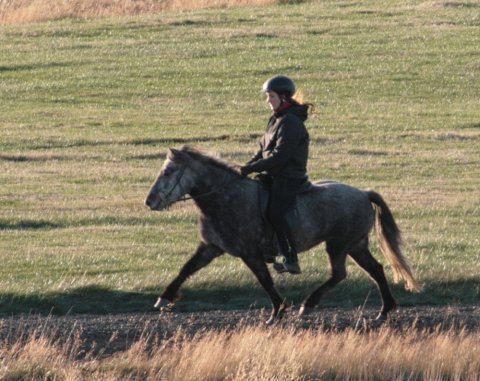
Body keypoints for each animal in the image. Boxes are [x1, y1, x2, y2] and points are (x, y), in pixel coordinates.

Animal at [143, 145, 420, 324]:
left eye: (168, 171)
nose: (150, 201)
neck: (226, 197)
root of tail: (364, 193)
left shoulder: (250, 253)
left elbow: (265, 280)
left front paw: (278, 311)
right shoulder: (210, 247)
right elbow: (186, 269)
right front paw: (164, 299)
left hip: (339, 245)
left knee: (340, 274)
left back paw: (308, 304)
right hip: (356, 245)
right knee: (376, 270)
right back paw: (384, 311)